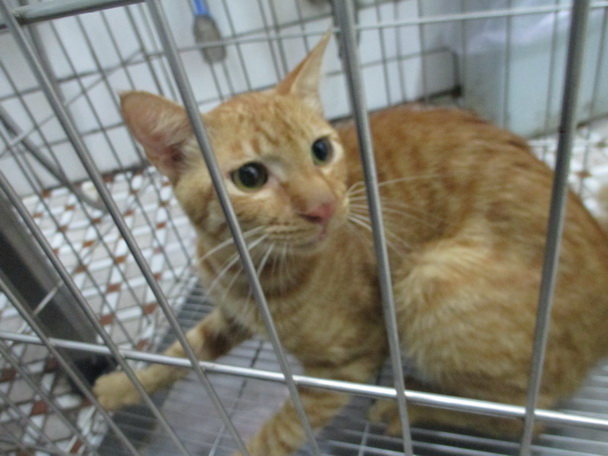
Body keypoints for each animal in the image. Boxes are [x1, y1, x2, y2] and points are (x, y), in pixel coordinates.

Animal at [93, 31, 608, 455]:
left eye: (321, 150)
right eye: (250, 177)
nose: (323, 207)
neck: (246, 266)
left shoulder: (346, 367)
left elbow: (278, 432)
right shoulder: (231, 311)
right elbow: (185, 349)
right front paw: (125, 384)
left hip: (431, 280)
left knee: (527, 416)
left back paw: (410, 406)